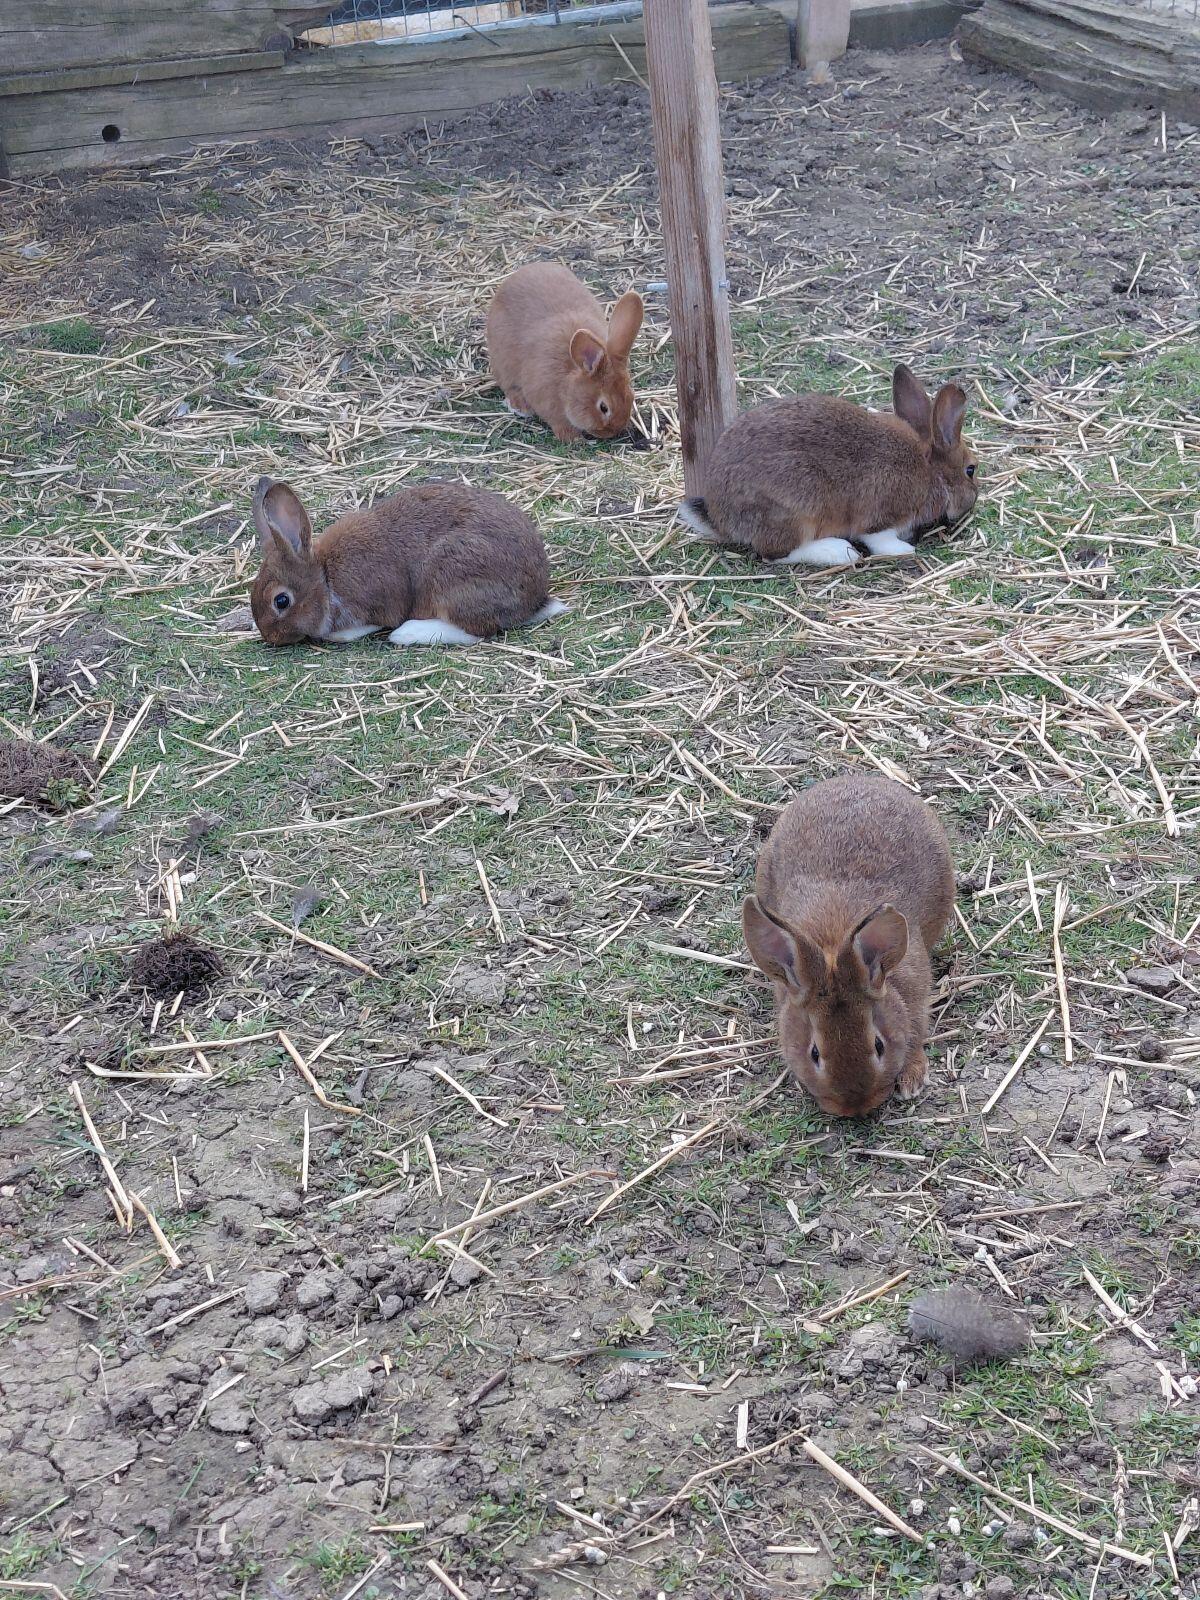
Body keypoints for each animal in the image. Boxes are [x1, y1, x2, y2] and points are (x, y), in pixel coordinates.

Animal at [249, 477, 566, 648]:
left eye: (281, 601)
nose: (271, 637)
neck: (325, 577)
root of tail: (535, 599)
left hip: (451, 577)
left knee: (473, 631)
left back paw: (408, 633)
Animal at [485, 262, 644, 444]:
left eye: (631, 396)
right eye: (603, 407)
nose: (612, 432)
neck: (568, 382)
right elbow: (558, 422)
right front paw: (573, 438)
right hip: (502, 361)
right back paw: (521, 407)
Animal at [677, 364, 977, 568]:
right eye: (971, 470)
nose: (973, 501)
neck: (929, 469)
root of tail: (721, 518)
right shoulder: (882, 514)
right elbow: (879, 539)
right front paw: (903, 550)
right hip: (797, 512)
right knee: (776, 553)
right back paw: (839, 551)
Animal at [742, 773, 955, 1118]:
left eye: (879, 1045)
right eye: (814, 1053)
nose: (854, 1106)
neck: (832, 944)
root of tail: (863, 778)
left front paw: (912, 1079)